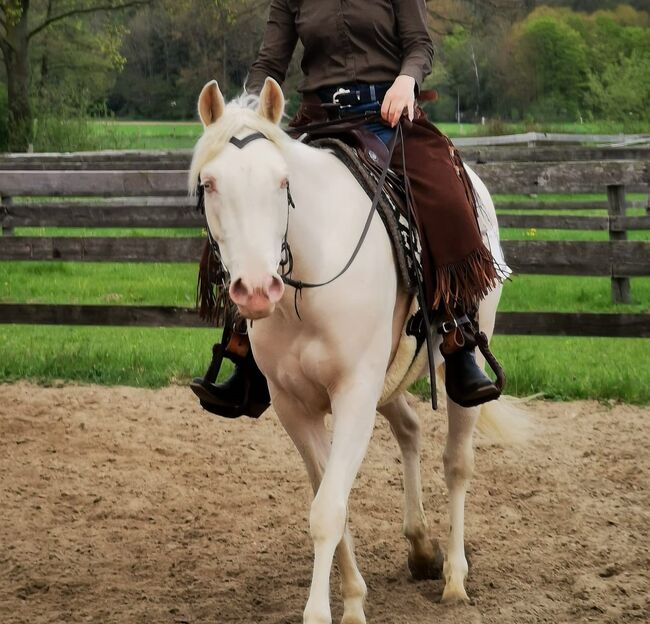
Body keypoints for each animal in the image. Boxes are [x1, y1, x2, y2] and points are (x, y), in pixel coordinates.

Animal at [187, 78, 520, 624]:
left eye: (283, 183)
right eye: (209, 184)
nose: (256, 290)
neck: (310, 282)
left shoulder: (354, 394)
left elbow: (328, 510)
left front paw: (324, 612)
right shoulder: (294, 407)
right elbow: (331, 499)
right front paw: (354, 599)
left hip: (457, 367)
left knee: (457, 462)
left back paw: (454, 577)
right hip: (386, 382)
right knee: (409, 429)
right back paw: (421, 548)